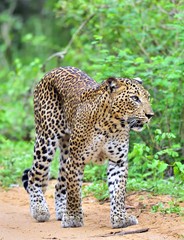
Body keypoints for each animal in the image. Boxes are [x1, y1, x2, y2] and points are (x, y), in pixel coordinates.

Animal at [21, 65, 154, 229]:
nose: (150, 115)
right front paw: (73, 218)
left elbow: (118, 192)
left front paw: (120, 219)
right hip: (46, 139)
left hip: (66, 151)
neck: (111, 125)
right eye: (135, 98)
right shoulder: (76, 160)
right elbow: (74, 191)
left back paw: (61, 212)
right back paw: (40, 209)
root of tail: (54, 70)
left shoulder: (118, 161)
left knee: (59, 185)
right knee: (34, 175)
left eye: (148, 97)